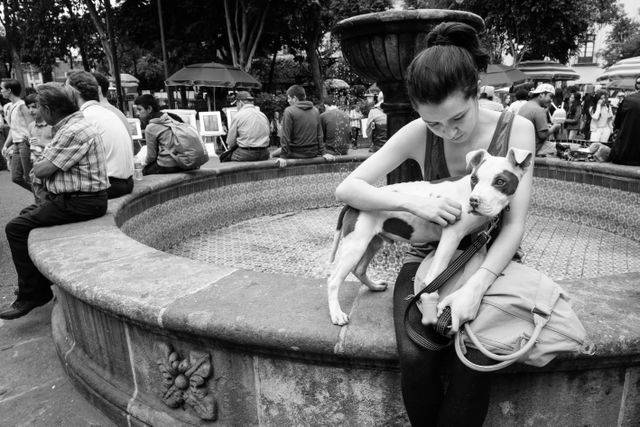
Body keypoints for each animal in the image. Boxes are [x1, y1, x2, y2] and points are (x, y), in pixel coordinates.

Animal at [328, 147, 532, 324]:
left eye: (500, 181)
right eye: (474, 178)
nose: (473, 201)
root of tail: (350, 204)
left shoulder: (477, 242)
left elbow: (472, 272)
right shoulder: (451, 237)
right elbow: (435, 275)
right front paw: (432, 307)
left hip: (373, 242)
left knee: (359, 269)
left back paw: (374, 286)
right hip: (356, 245)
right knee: (334, 280)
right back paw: (337, 314)